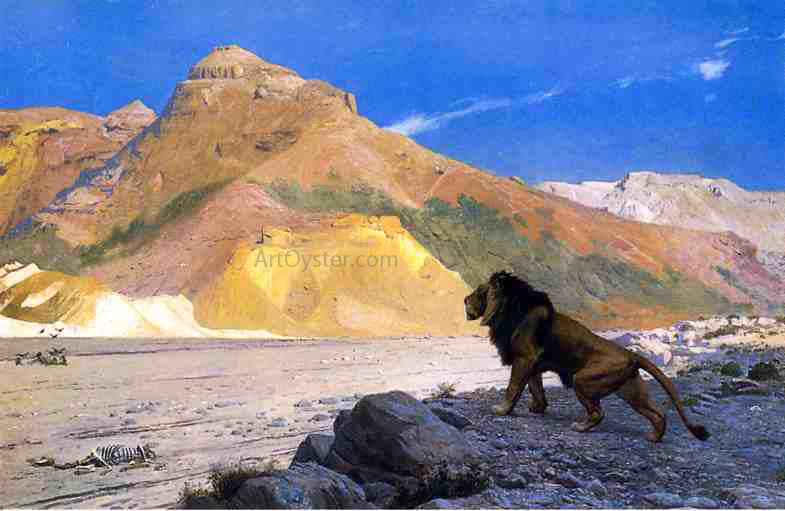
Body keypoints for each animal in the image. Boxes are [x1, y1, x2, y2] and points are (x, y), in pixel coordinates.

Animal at [464, 271, 709, 442]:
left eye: (479, 291)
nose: (465, 300)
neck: (509, 311)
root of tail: (631, 354)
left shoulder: (524, 358)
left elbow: (513, 387)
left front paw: (501, 410)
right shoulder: (531, 363)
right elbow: (536, 388)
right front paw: (537, 408)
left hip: (583, 380)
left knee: (599, 412)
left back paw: (580, 427)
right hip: (630, 390)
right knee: (657, 413)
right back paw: (654, 438)